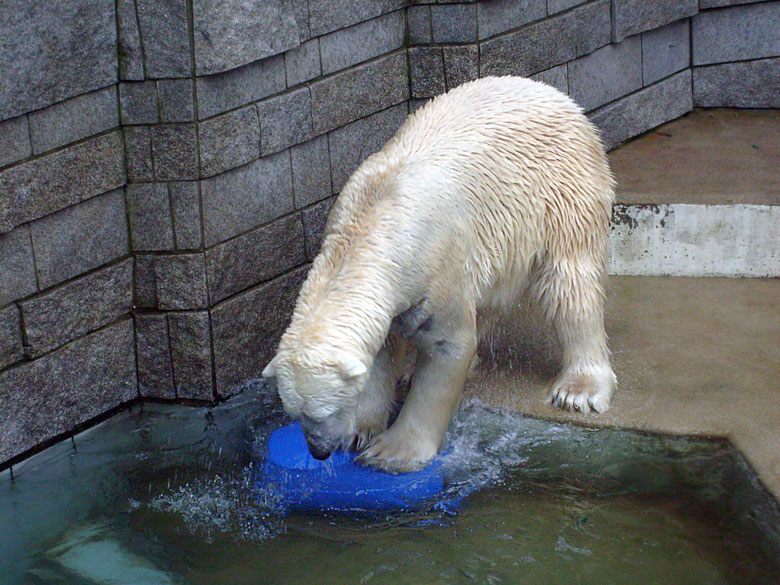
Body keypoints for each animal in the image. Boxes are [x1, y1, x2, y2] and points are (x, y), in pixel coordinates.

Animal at [262, 76, 616, 470]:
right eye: (297, 414)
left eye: (328, 411)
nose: (319, 451)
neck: (372, 222)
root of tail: (558, 96)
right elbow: (381, 351)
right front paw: (362, 431)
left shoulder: (433, 266)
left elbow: (449, 346)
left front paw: (392, 451)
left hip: (563, 191)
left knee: (570, 285)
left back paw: (579, 389)